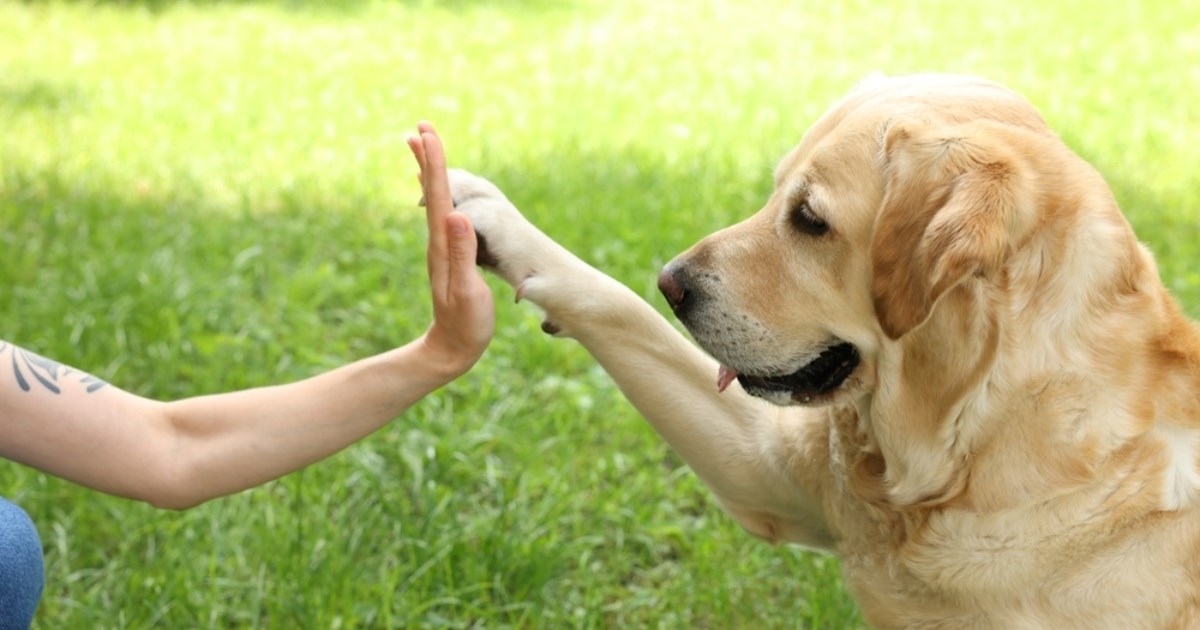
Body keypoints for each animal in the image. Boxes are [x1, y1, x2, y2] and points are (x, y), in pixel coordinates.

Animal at [446, 73, 1200, 624]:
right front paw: (489, 215)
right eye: (775, 191)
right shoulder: (766, 471)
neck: (969, 443)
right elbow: (615, 305)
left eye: (810, 219)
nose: (671, 283)